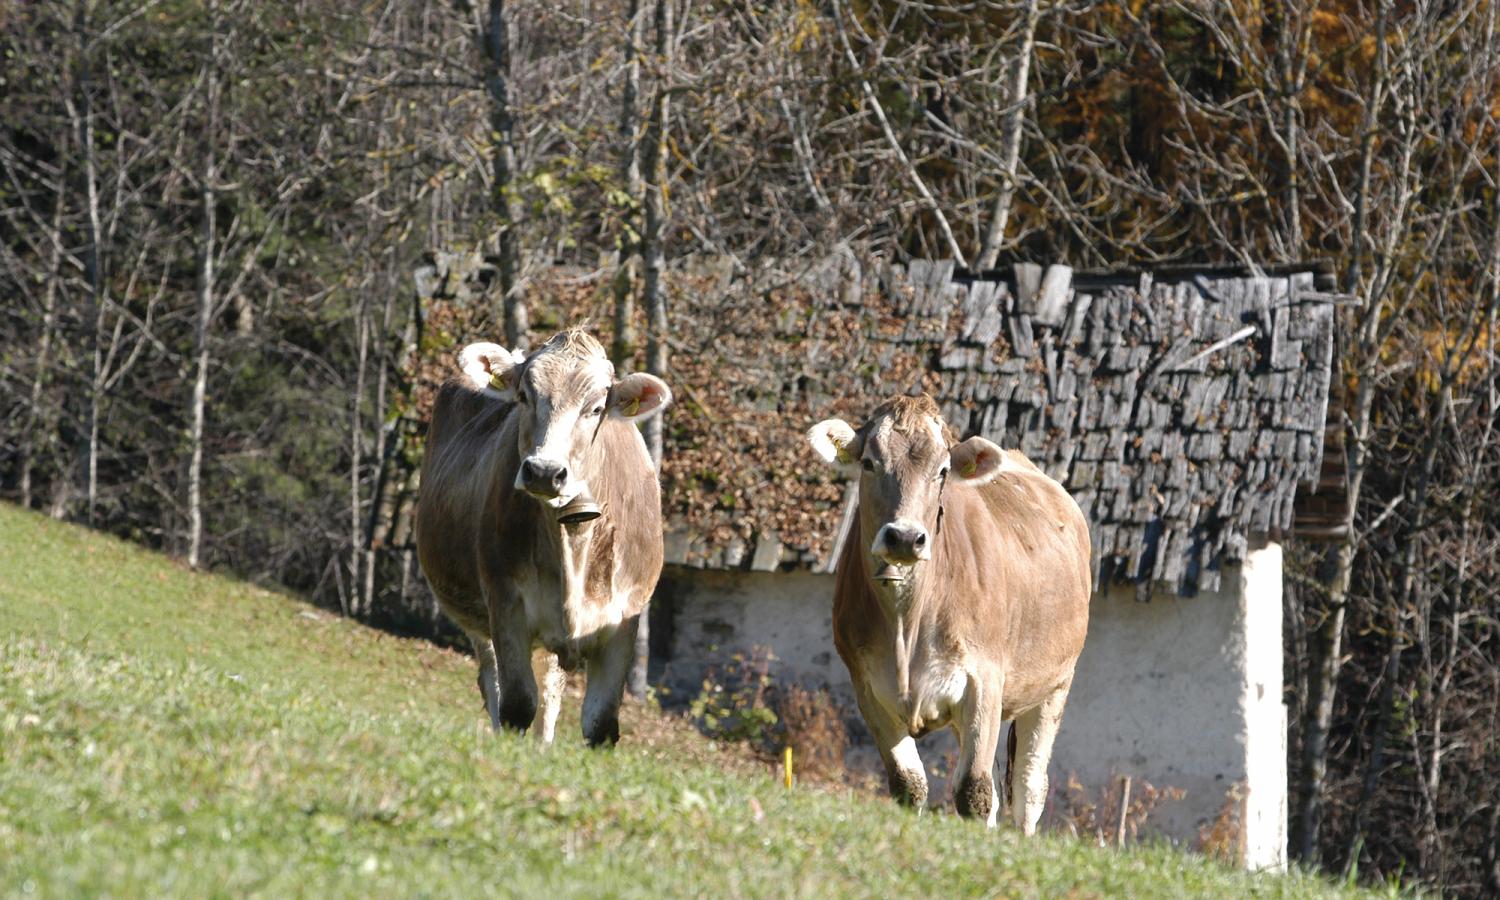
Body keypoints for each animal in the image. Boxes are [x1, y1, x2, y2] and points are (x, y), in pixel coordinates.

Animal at [411, 328, 669, 744]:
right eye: (523, 397)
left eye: (596, 408)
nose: (545, 472)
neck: (574, 540)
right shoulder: (505, 601)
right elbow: (517, 703)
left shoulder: (624, 617)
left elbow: (599, 722)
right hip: (478, 619)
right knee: (493, 683)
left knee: (550, 692)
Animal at [810, 393, 1092, 828]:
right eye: (869, 462)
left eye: (942, 471)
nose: (905, 537)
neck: (906, 623)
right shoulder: (868, 689)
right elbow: (910, 786)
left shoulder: (984, 681)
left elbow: (973, 792)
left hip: (1056, 685)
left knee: (1028, 788)